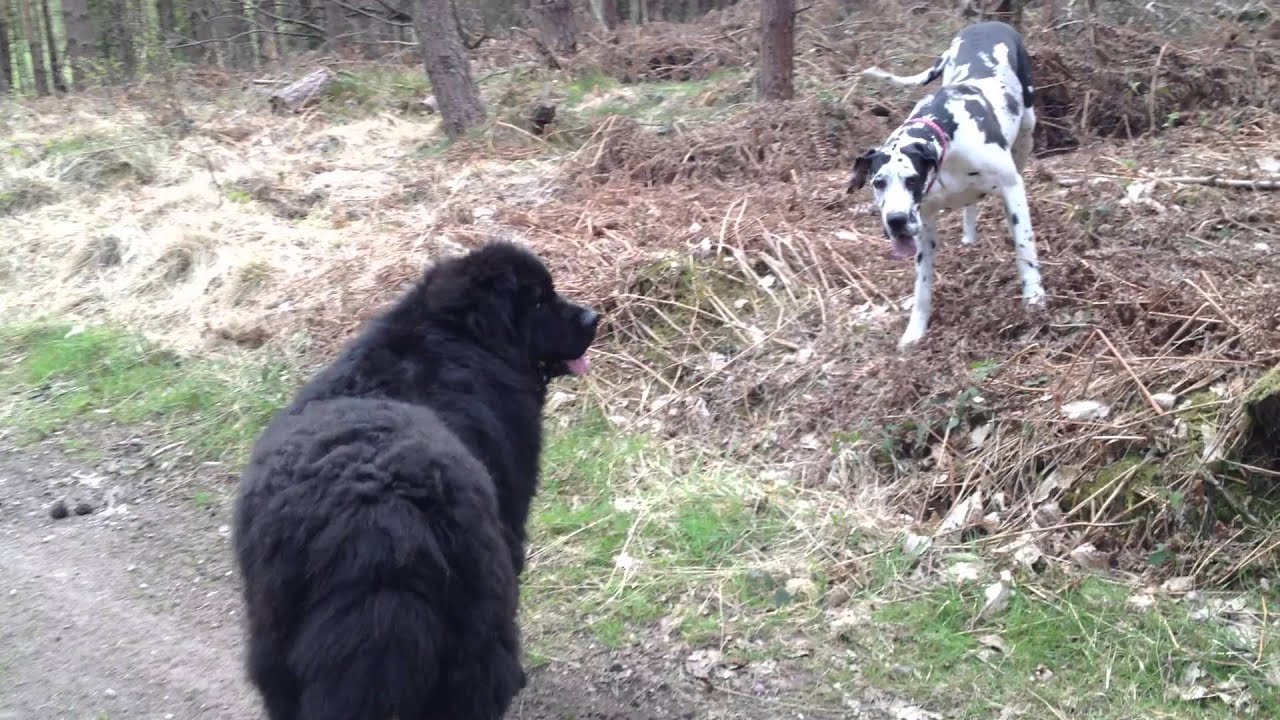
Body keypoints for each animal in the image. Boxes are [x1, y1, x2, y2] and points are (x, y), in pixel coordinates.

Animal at [231, 240, 599, 717]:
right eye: (539, 300)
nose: (593, 317)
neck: (460, 334)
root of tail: (376, 523)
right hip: (475, 631)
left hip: (275, 638)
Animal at [844, 20, 1044, 348]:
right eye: (878, 182)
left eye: (912, 179)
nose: (896, 220)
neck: (946, 131)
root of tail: (989, 22)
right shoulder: (924, 225)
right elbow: (922, 285)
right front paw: (915, 331)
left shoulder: (1011, 188)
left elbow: (1025, 250)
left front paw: (1035, 299)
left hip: (1027, 131)